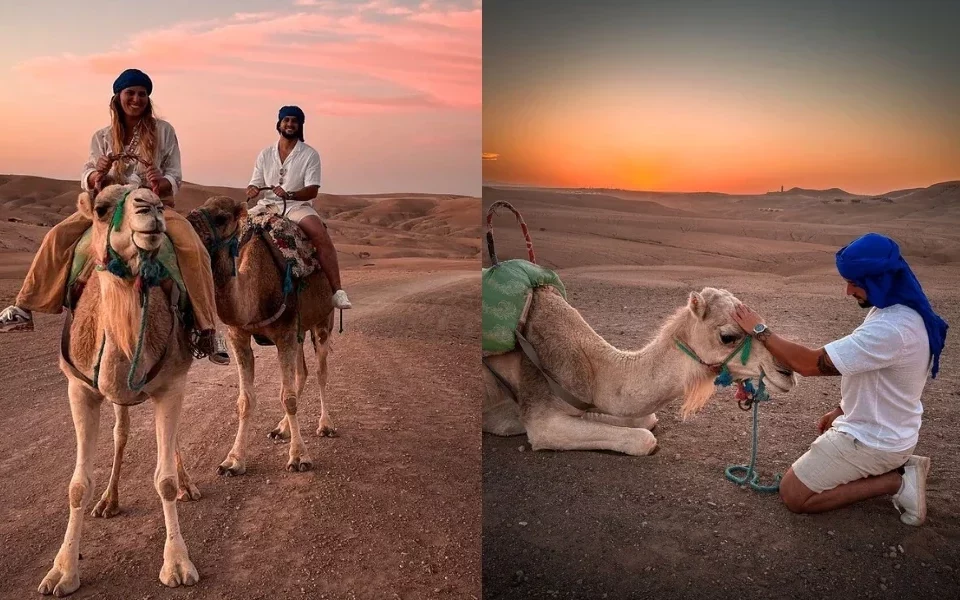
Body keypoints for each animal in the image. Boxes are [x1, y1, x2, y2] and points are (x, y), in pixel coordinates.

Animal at [40, 184, 199, 596]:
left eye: (158, 198)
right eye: (100, 208)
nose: (152, 208)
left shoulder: (172, 385)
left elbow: (165, 480)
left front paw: (177, 563)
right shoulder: (79, 390)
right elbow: (78, 485)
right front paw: (63, 570)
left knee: (170, 440)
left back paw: (189, 487)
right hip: (117, 398)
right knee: (122, 434)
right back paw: (109, 502)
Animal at [186, 195, 336, 475]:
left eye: (221, 217)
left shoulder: (285, 332)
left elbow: (288, 397)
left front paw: (299, 457)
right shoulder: (239, 334)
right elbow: (246, 400)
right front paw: (233, 461)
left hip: (323, 320)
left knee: (321, 371)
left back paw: (326, 425)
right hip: (300, 330)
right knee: (302, 372)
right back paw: (281, 428)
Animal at [482, 285, 798, 455]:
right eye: (728, 336)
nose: (787, 372)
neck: (594, 369)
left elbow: (645, 419)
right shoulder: (541, 418)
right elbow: (644, 438)